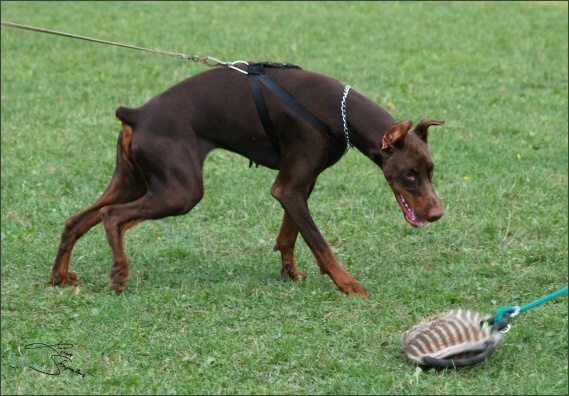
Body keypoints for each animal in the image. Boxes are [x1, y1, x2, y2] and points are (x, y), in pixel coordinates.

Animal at [48, 62, 444, 296]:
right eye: (409, 174)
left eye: (430, 171)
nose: (438, 214)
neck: (340, 112)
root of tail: (138, 114)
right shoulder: (290, 187)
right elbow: (320, 243)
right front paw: (348, 284)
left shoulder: (299, 186)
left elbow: (290, 234)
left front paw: (289, 271)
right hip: (180, 191)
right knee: (112, 217)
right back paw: (119, 273)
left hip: (134, 180)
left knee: (79, 219)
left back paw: (60, 277)